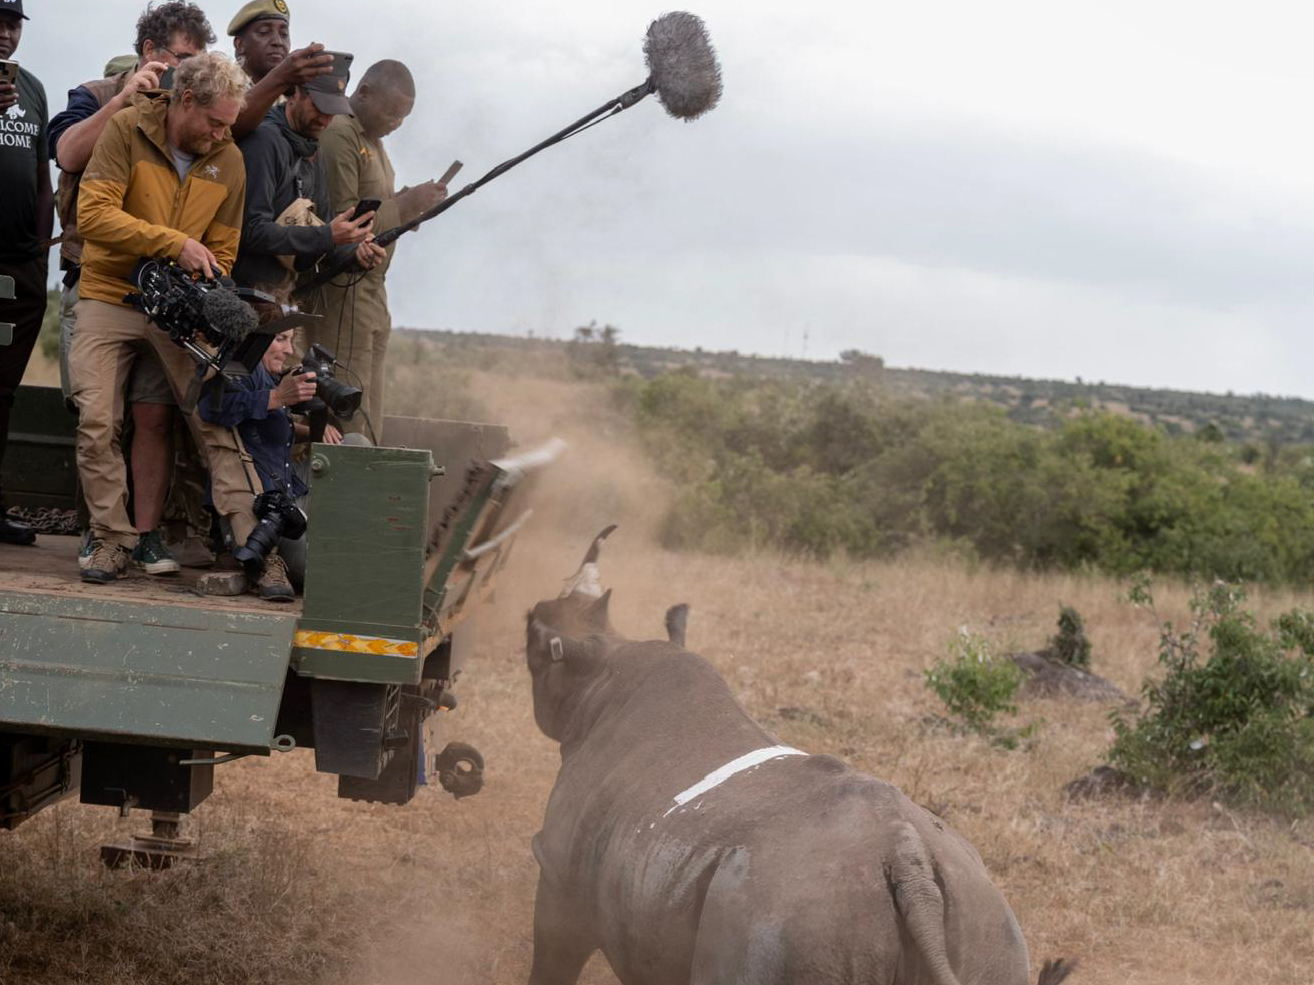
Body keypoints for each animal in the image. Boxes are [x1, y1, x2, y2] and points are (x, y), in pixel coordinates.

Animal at [525, 527, 1074, 985]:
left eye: (532, 634)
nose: (528, 615)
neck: (600, 673)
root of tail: (910, 865)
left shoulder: (560, 876)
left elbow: (552, 959)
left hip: (787, 922)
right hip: (987, 927)